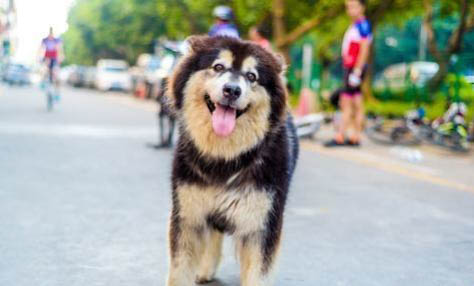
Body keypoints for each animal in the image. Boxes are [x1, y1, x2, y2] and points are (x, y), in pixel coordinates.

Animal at [167, 35, 298, 286]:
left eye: (252, 76)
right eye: (218, 67)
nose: (232, 90)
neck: (226, 157)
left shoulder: (261, 226)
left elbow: (257, 275)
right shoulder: (188, 217)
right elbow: (180, 272)